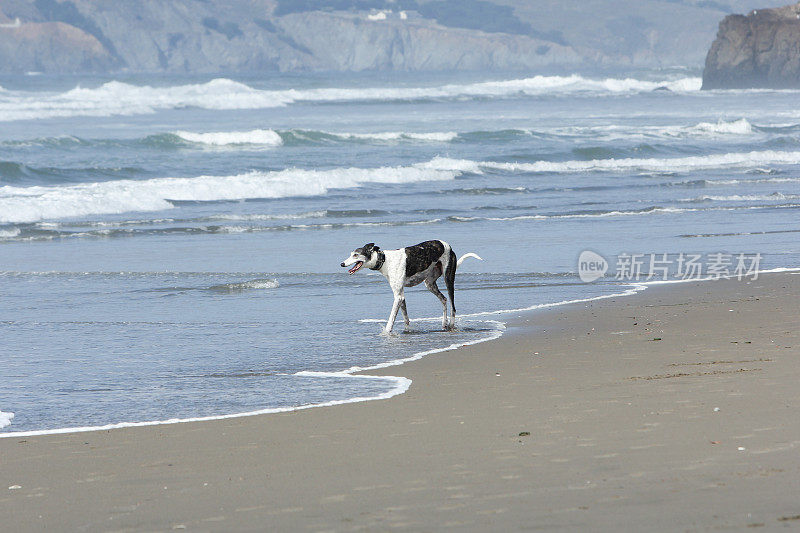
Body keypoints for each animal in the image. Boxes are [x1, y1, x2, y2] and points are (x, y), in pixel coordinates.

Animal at [340, 240, 478, 332]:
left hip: (448, 279)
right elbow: (406, 318)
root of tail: (448, 245)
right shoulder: (401, 295)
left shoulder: (398, 297)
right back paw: (444, 324)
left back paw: (451, 326)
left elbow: (391, 320)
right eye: (351, 254)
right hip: (429, 284)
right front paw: (407, 331)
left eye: (356, 255)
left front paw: (386, 333)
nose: (342, 264)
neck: (384, 260)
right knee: (443, 299)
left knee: (453, 307)